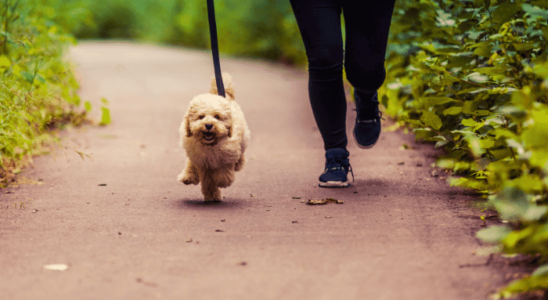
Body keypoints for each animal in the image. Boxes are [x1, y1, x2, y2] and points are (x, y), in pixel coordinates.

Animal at [178, 73, 250, 202]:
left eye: (217, 116)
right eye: (201, 117)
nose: (208, 125)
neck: (210, 145)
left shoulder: (227, 156)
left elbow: (224, 172)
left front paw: (223, 181)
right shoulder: (201, 161)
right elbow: (207, 181)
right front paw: (211, 194)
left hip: (243, 138)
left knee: (241, 153)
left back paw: (238, 164)